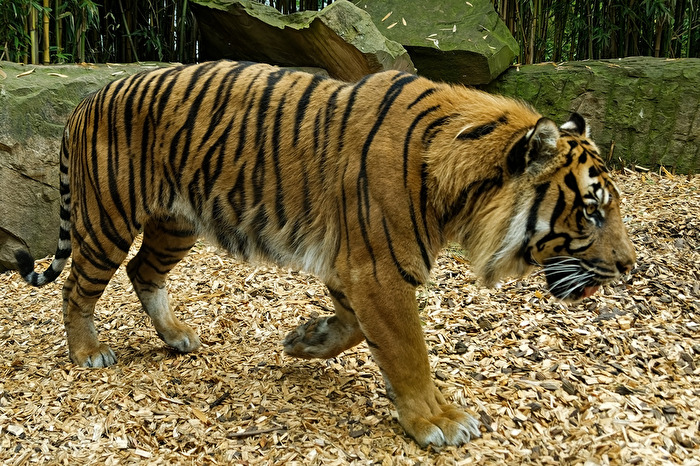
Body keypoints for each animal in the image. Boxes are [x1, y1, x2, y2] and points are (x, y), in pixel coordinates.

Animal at [14, 60, 636, 447]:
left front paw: (305, 341)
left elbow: (358, 330)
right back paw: (88, 352)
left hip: (177, 223)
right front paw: (437, 421)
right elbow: (408, 351)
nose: (630, 266)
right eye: (592, 211)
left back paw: (176, 336)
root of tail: (85, 100)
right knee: (76, 286)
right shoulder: (378, 270)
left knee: (143, 270)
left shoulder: (355, 267)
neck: (460, 188)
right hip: (109, 219)